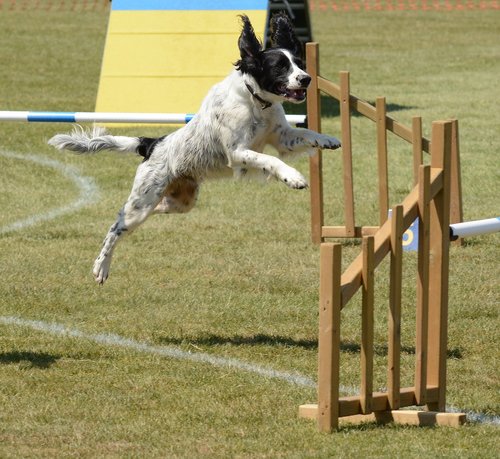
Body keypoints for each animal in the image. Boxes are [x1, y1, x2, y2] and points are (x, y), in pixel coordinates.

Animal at [48, 13, 342, 284]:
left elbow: (305, 134)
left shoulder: (282, 137)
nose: (306, 79)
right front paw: (293, 178)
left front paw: (328, 139)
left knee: (151, 210)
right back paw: (101, 268)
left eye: (299, 63)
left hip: (181, 201)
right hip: (142, 202)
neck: (255, 102)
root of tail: (152, 144)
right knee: (116, 226)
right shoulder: (238, 153)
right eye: (280, 66)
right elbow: (271, 160)